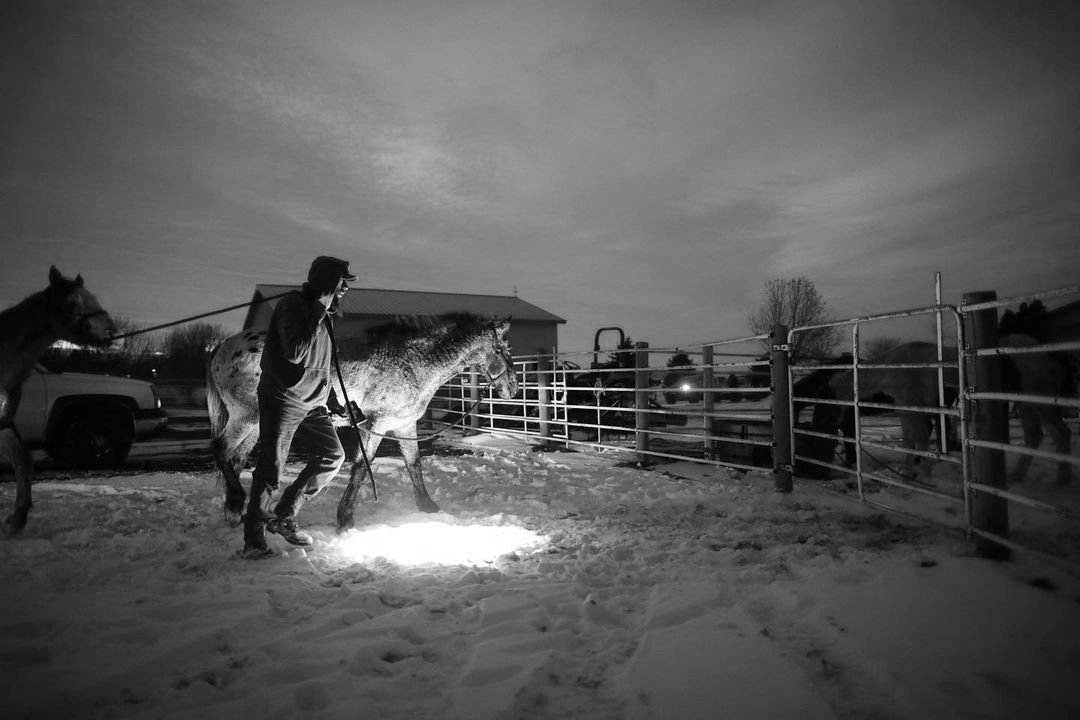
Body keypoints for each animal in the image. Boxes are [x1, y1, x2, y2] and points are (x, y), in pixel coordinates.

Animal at [0, 267, 118, 533]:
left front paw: (18, 518)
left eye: (96, 298)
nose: (112, 332)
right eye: (74, 301)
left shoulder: (3, 422)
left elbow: (23, 461)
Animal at [208, 313, 520, 533]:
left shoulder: (404, 425)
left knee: (236, 458)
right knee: (221, 449)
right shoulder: (376, 423)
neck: (412, 361)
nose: (513, 389)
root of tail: (223, 348)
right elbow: (360, 466)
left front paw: (427, 506)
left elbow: (414, 464)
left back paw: (235, 512)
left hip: (257, 422)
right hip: (247, 416)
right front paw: (345, 518)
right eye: (503, 349)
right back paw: (236, 503)